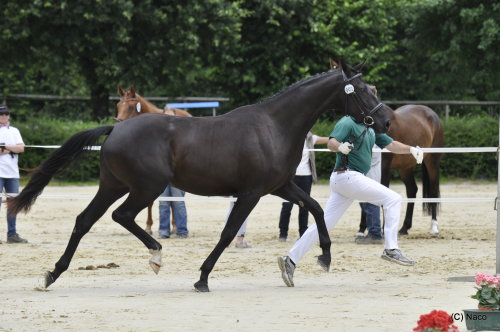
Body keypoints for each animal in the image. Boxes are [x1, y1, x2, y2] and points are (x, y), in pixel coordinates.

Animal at [358, 104, 444, 236]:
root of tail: (432, 114)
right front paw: (362, 229)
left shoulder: (384, 167)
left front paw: (383, 230)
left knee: (433, 191)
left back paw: (434, 227)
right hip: (405, 167)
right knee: (412, 190)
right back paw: (404, 227)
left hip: (432, 161)